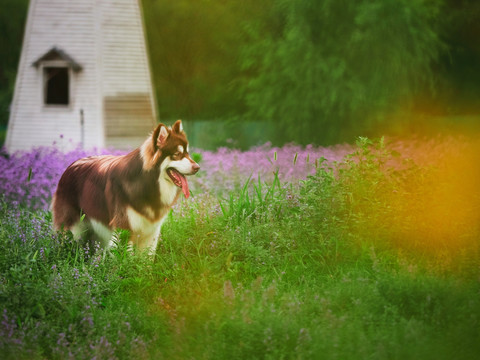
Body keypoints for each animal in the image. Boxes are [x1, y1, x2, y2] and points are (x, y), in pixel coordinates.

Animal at [52, 119, 201, 255]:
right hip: (73, 229)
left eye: (187, 153)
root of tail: (71, 166)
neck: (147, 183)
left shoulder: (151, 233)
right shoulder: (124, 229)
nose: (197, 167)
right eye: (177, 154)